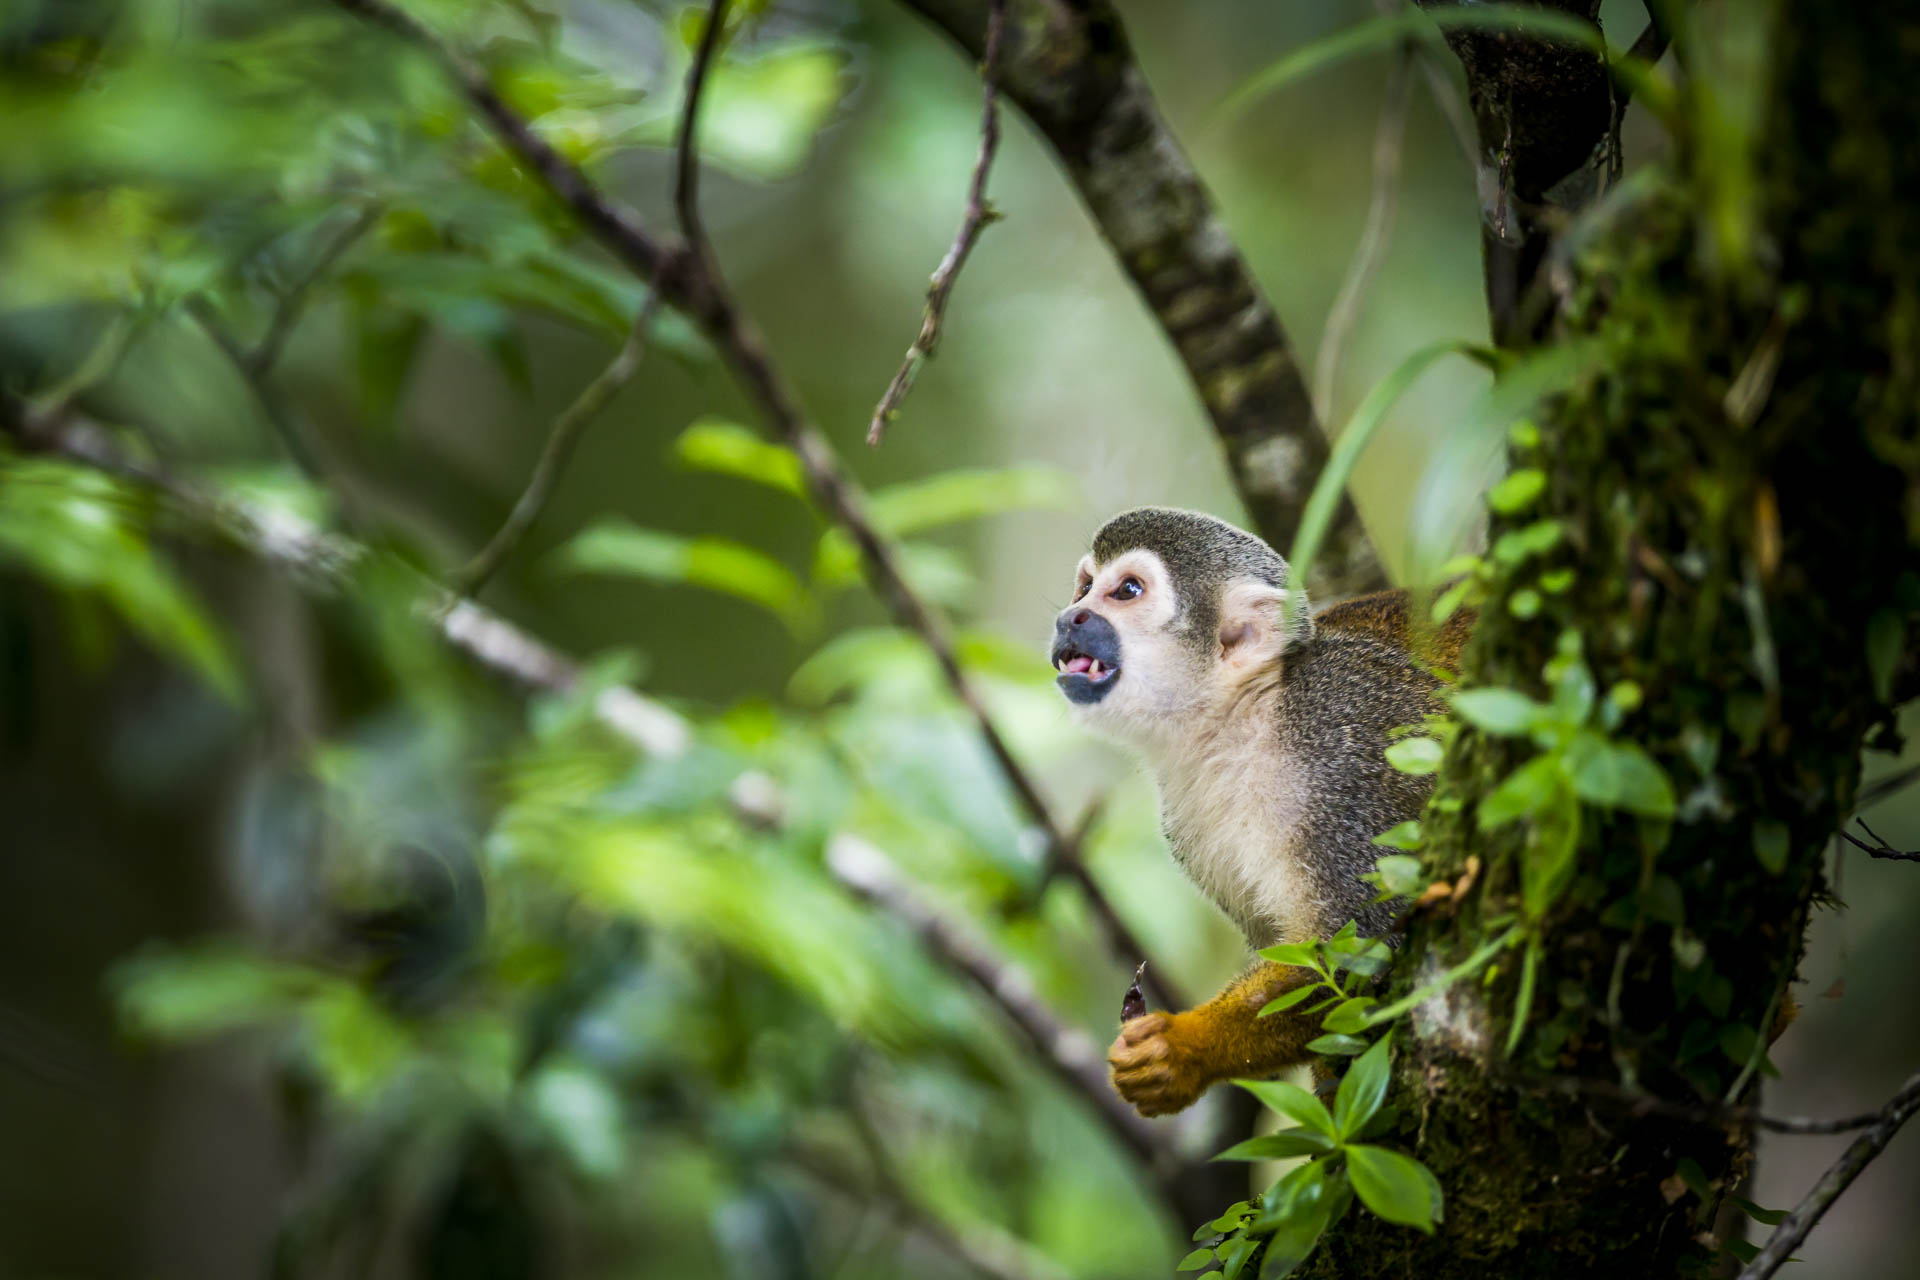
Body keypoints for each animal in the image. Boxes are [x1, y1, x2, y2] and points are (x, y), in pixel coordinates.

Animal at [1052, 506, 1466, 1113]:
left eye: (1126, 590)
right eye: (1085, 585)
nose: (1070, 617)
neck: (1247, 726)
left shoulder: (1350, 762)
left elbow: (1366, 950)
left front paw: (1184, 1050)